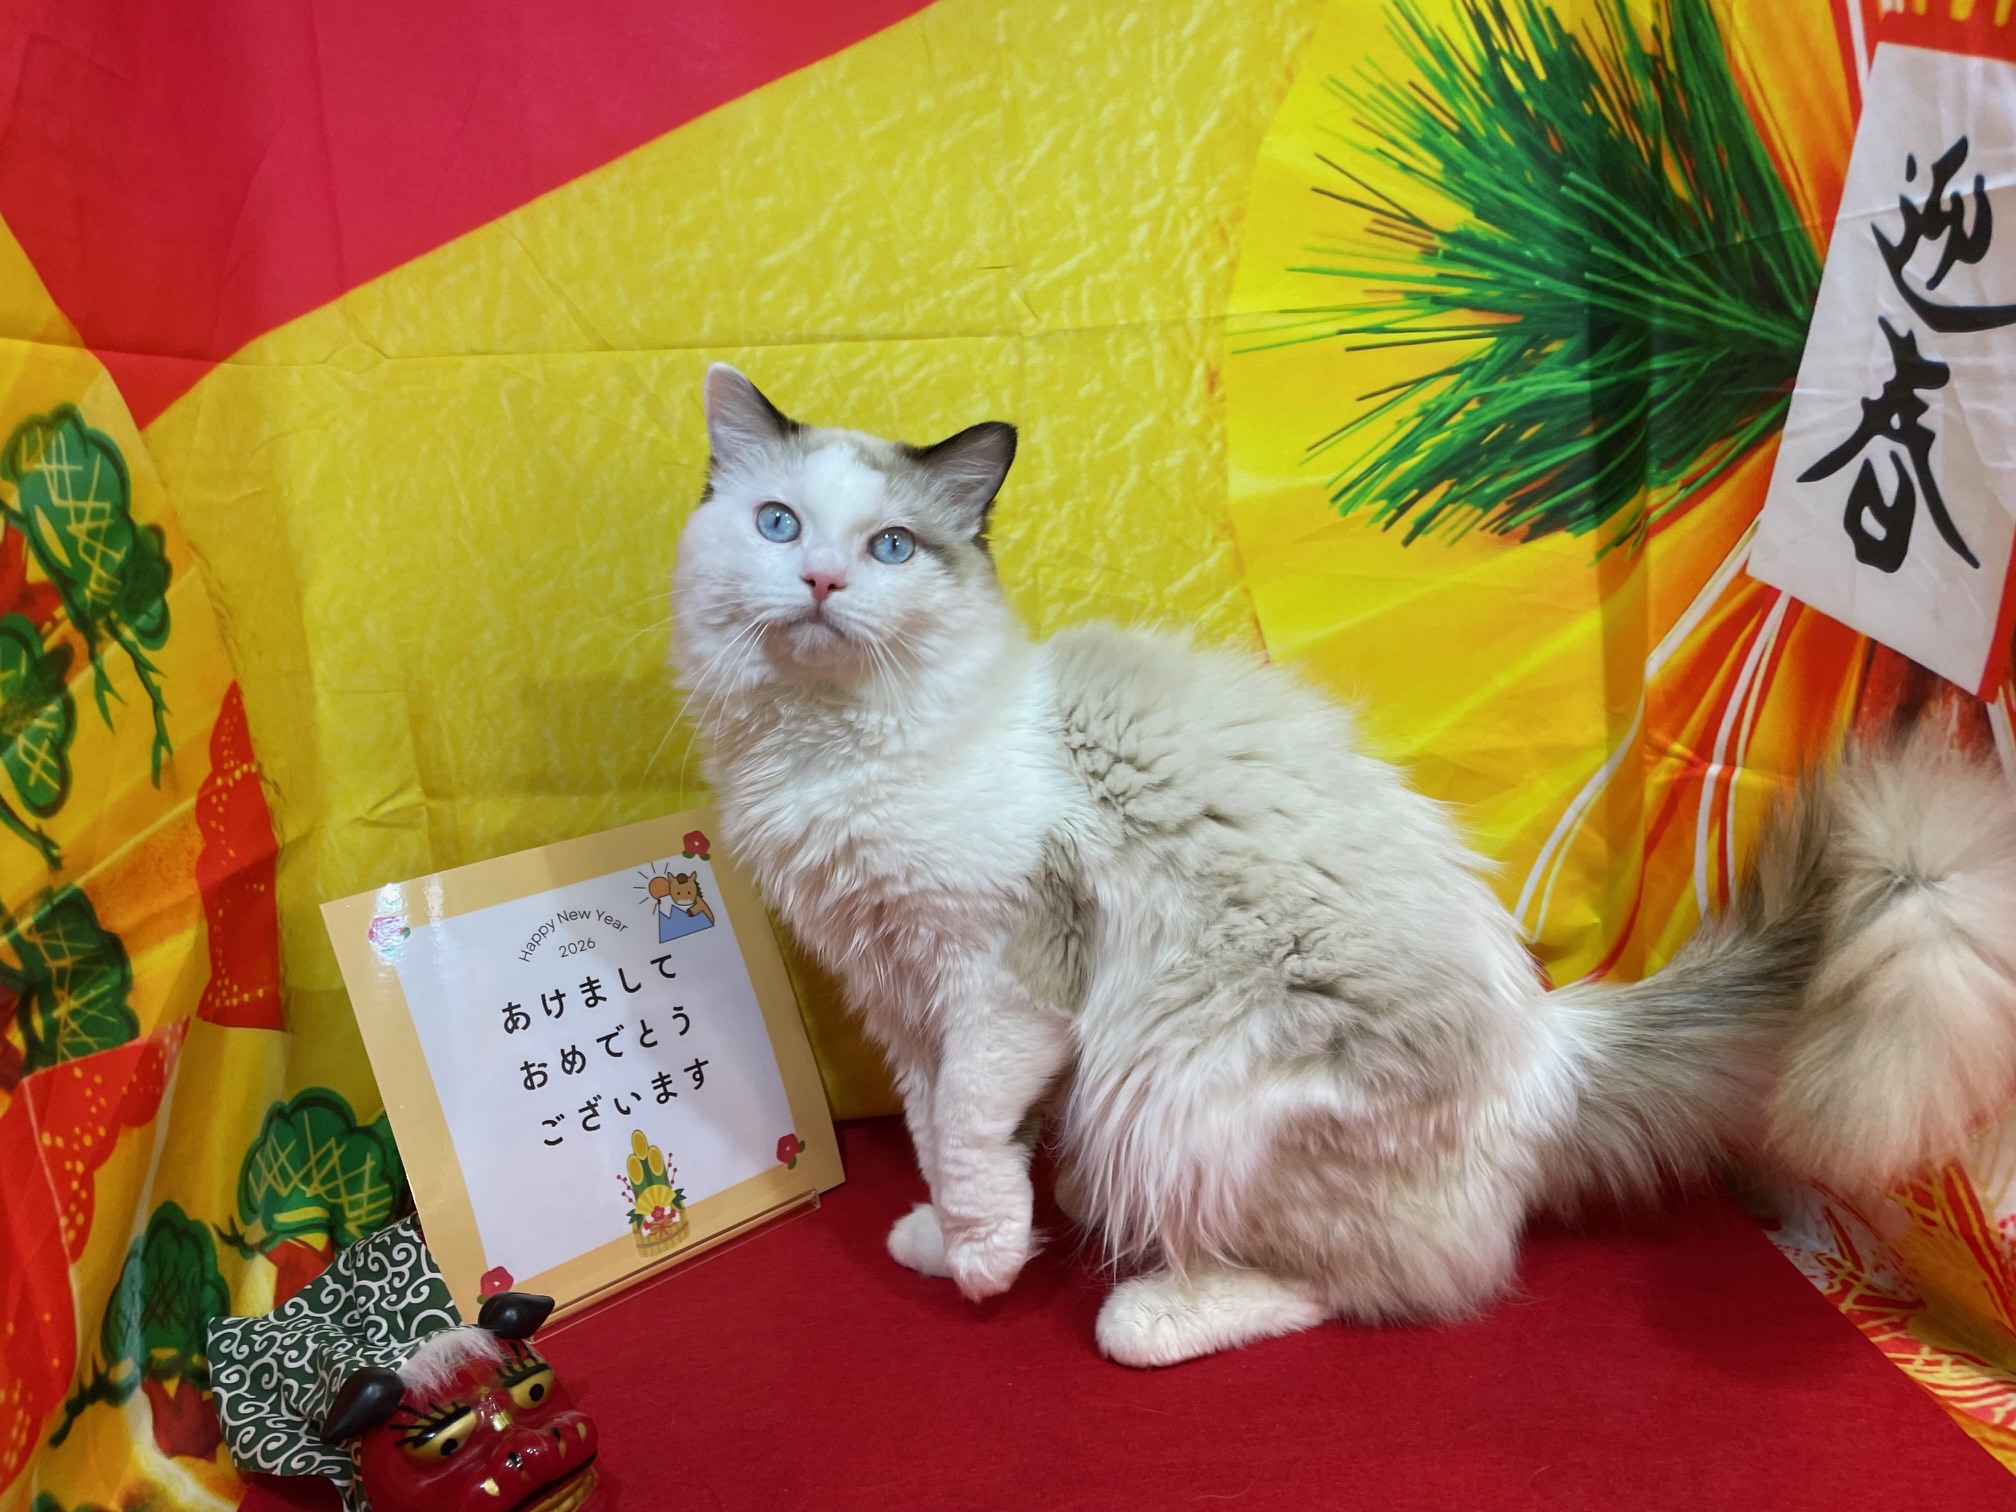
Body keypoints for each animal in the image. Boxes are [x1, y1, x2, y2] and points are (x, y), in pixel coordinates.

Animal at [671, 364, 2016, 1367]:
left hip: (1182, 1087)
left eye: (893, 547)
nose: (821, 580)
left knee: (1384, 1288)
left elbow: (964, 1131)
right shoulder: (898, 995)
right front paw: (944, 1243)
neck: (833, 751)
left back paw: (1150, 1308)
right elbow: (939, 1130)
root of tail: (1550, 1050)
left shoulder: (999, 983)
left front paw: (986, 1264)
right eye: (779, 526)